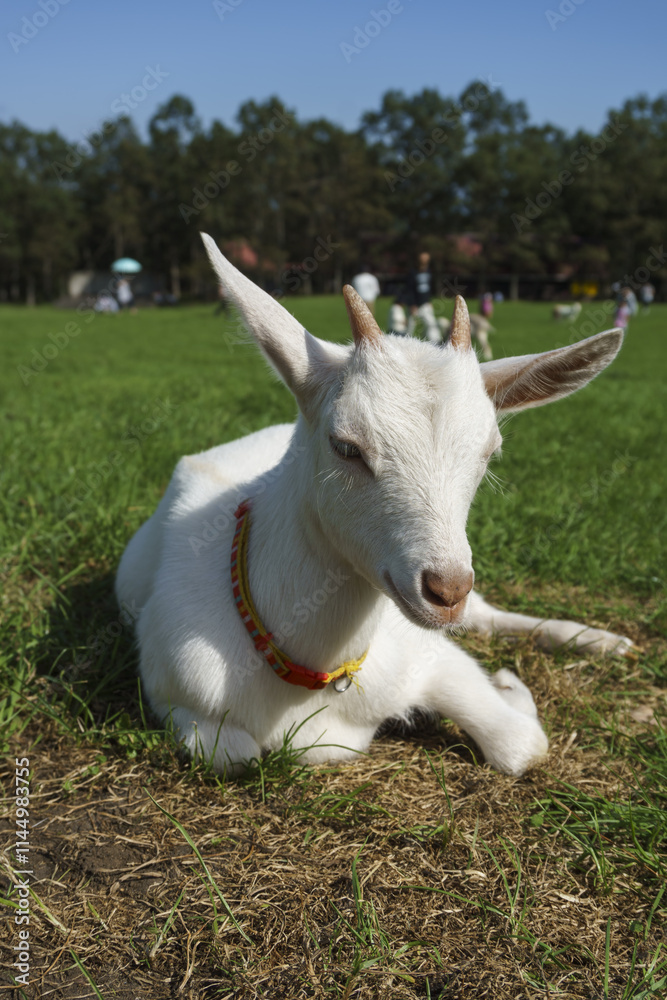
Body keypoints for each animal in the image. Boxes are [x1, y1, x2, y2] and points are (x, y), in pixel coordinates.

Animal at [115, 233, 634, 779]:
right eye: (346, 446)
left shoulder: (427, 654)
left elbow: (521, 744)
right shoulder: (173, 690)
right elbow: (233, 754)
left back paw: (601, 640)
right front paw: (511, 683)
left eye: (489, 452)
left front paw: (510, 686)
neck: (315, 681)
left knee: (490, 616)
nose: (447, 591)